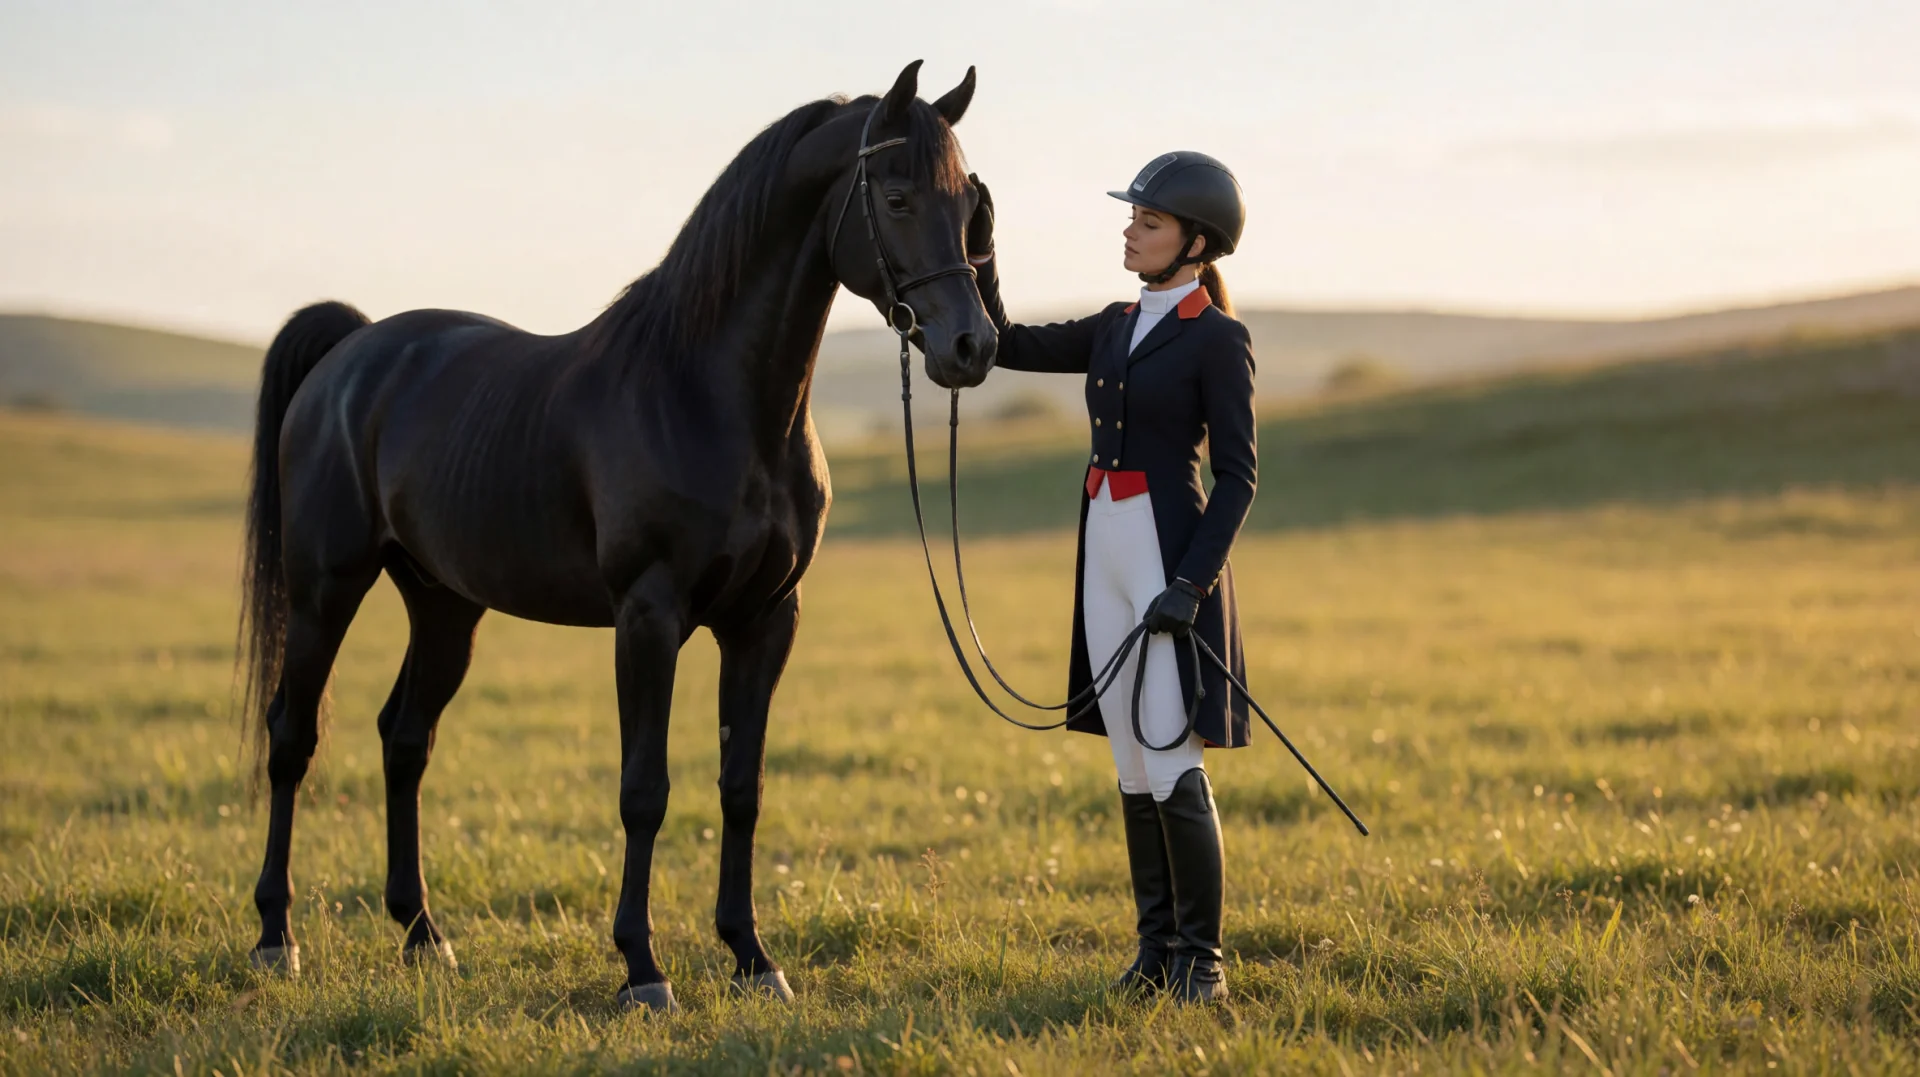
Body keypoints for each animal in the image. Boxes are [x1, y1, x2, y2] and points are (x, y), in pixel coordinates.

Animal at [236, 61, 994, 1013]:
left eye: (969, 201)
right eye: (895, 197)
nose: (972, 346)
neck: (707, 394)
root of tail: (354, 350)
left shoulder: (765, 622)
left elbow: (740, 786)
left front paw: (752, 956)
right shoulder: (648, 617)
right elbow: (646, 789)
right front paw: (643, 967)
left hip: (445, 607)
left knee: (405, 739)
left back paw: (424, 935)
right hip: (323, 590)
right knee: (291, 736)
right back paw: (276, 936)